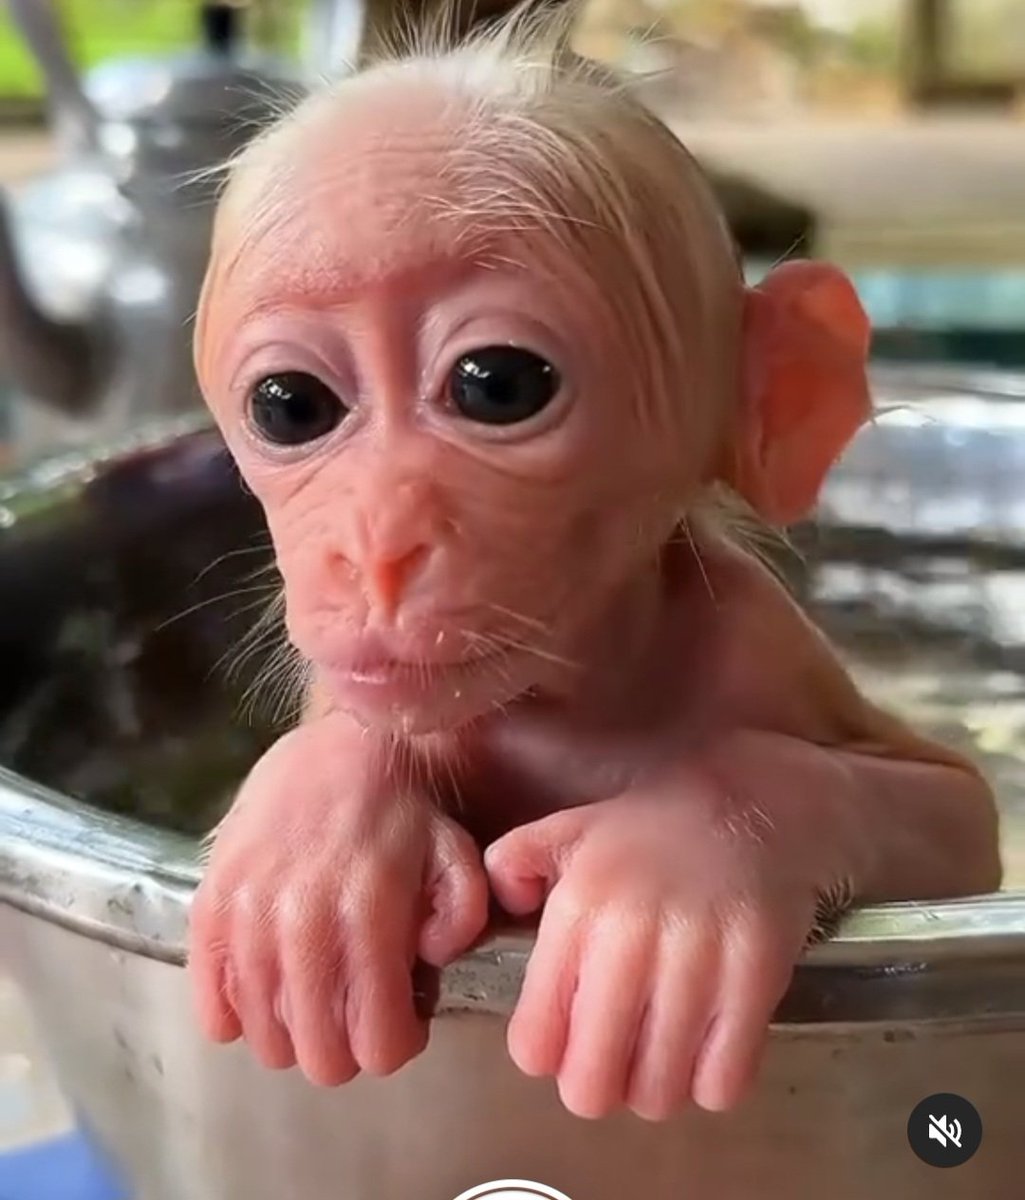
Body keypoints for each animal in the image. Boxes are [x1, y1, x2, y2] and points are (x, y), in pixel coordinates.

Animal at [187, 7, 1000, 1123]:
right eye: (288, 406)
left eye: (497, 384)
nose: (372, 549)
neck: (578, 690)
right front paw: (312, 835)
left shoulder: (762, 643)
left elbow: (955, 812)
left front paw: (682, 861)